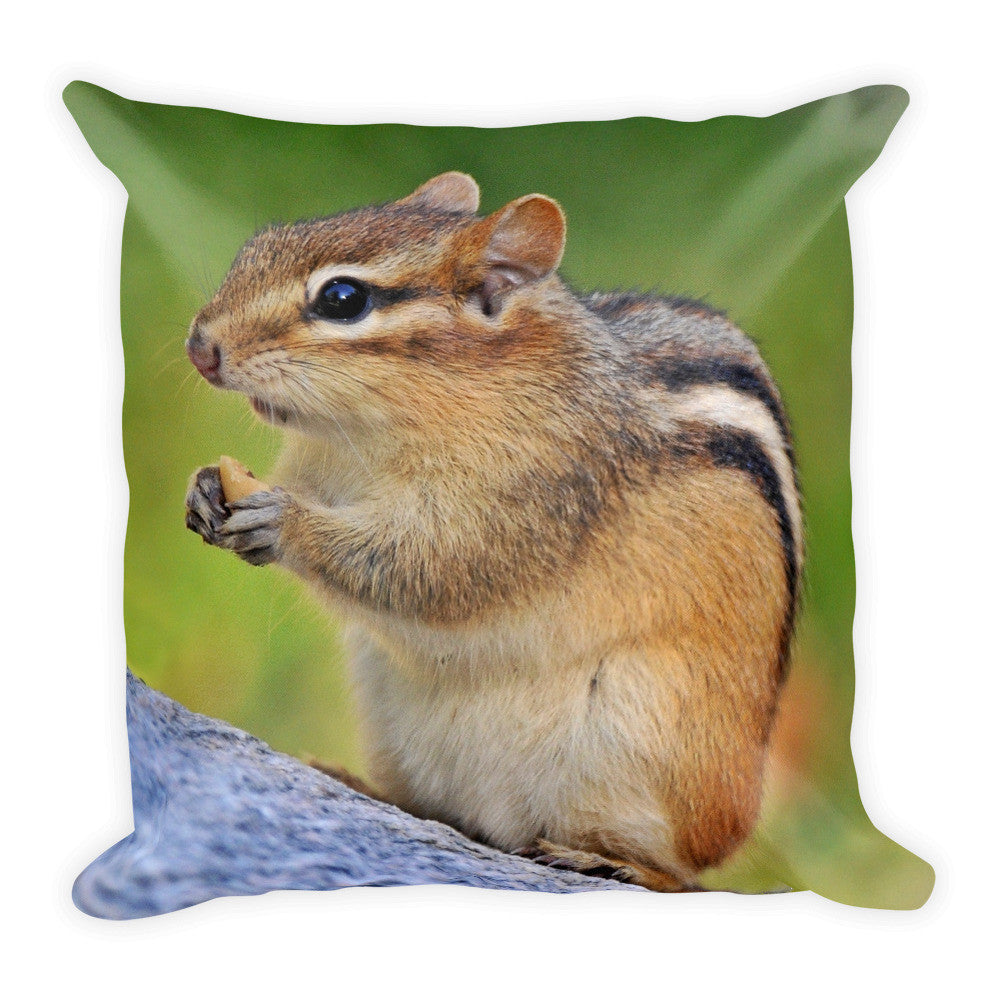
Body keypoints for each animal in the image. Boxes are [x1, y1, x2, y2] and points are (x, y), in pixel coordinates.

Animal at [184, 172, 802, 892]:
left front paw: (284, 523)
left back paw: (609, 859)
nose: (201, 347)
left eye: (343, 298)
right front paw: (205, 489)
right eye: (259, 244)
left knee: (682, 875)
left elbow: (431, 569)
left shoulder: (533, 499)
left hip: (654, 746)